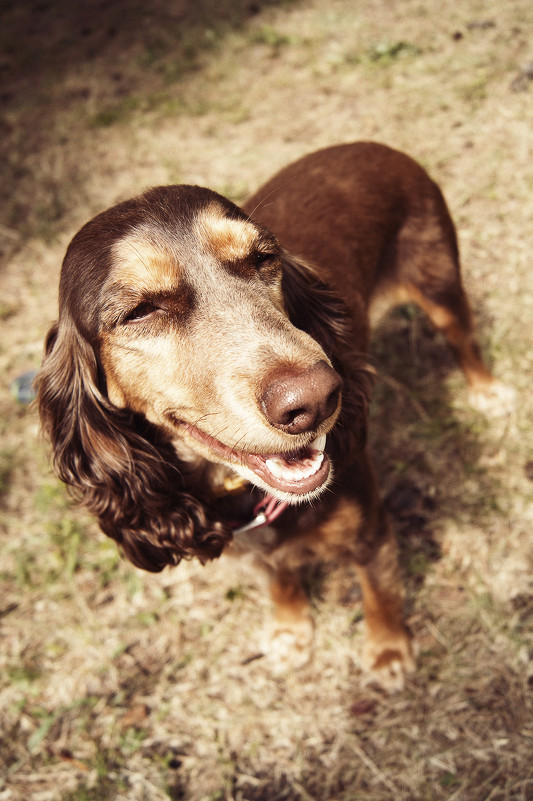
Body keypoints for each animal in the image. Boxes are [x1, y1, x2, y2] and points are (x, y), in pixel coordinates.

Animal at [37, 142, 508, 688]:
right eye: (141, 311)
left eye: (263, 259)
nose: (318, 398)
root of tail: (370, 144)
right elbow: (280, 579)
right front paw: (290, 632)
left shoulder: (371, 530)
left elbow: (379, 592)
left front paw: (388, 651)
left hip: (439, 280)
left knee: (463, 337)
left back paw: (488, 392)